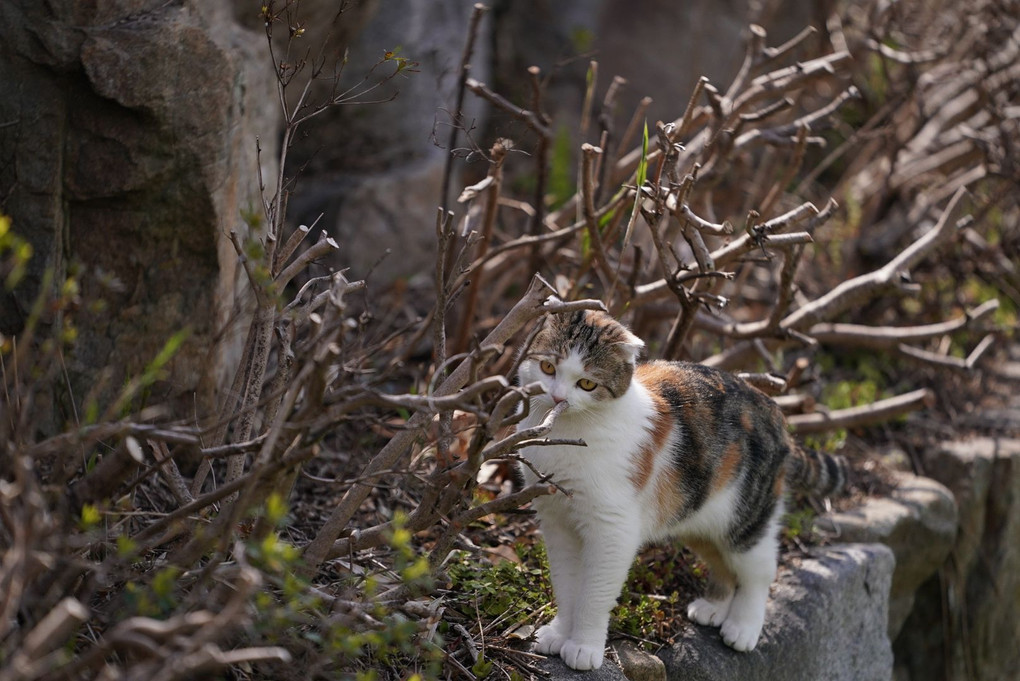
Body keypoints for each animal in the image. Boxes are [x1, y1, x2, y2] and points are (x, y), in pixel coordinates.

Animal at [518, 311, 844, 672]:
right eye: (548, 368)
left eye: (587, 384)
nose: (558, 399)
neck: (566, 434)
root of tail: (777, 415)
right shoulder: (557, 523)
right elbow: (566, 584)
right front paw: (560, 633)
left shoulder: (612, 531)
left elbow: (594, 594)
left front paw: (583, 646)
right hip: (696, 514)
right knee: (722, 562)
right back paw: (714, 607)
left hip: (745, 519)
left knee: (760, 569)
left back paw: (743, 627)